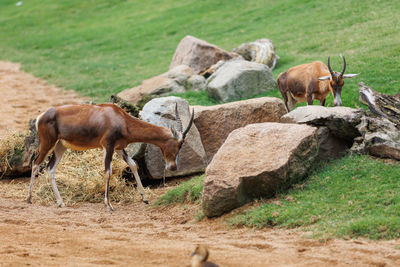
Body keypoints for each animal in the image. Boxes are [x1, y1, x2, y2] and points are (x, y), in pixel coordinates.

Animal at [25, 102, 195, 211]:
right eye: (179, 144)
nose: (173, 167)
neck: (118, 116)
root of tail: (41, 117)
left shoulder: (119, 148)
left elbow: (133, 164)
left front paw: (145, 198)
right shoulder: (109, 146)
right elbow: (108, 171)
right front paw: (109, 205)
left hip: (61, 146)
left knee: (50, 169)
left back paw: (61, 203)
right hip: (48, 143)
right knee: (36, 163)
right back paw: (29, 199)